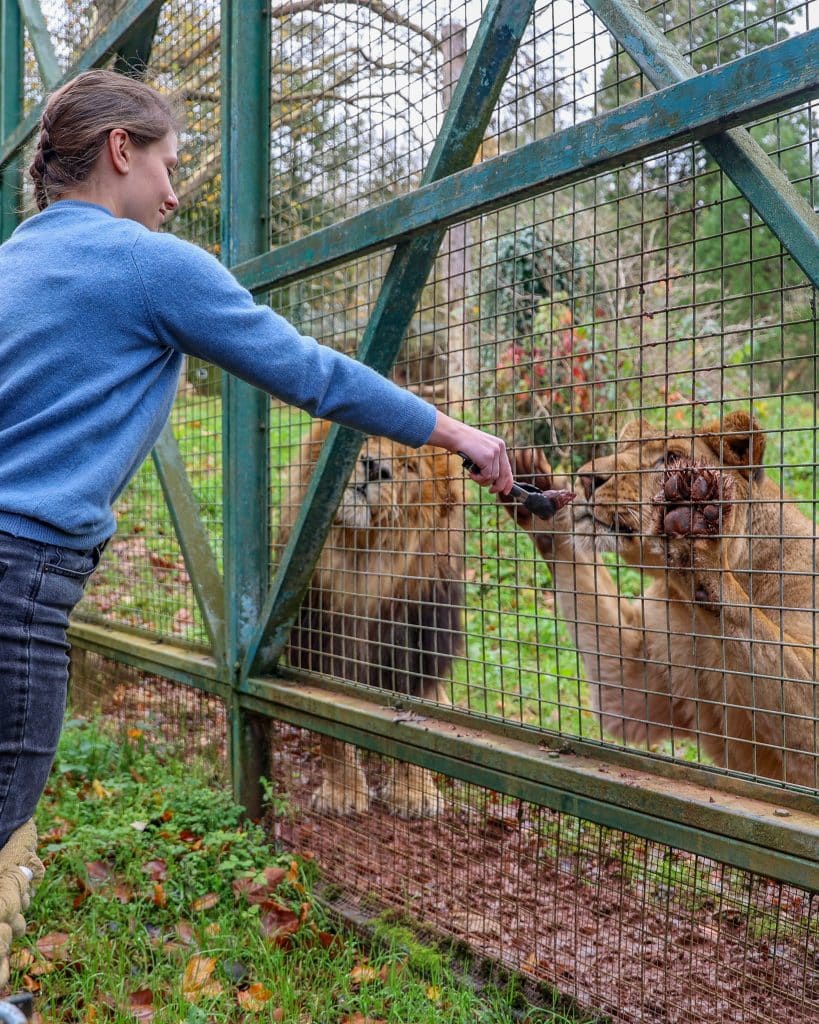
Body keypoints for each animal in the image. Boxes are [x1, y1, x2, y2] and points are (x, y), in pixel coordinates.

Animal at [277, 420, 465, 816]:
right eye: (365, 438)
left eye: (410, 467)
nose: (376, 468)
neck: (360, 561)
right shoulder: (323, 645)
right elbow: (332, 736)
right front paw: (342, 793)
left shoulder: (414, 651)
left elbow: (414, 722)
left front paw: (413, 795)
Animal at [502, 411, 818, 788]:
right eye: (621, 448)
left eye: (670, 458)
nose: (587, 479)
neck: (695, 616)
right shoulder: (639, 688)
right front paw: (536, 492)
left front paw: (693, 531)